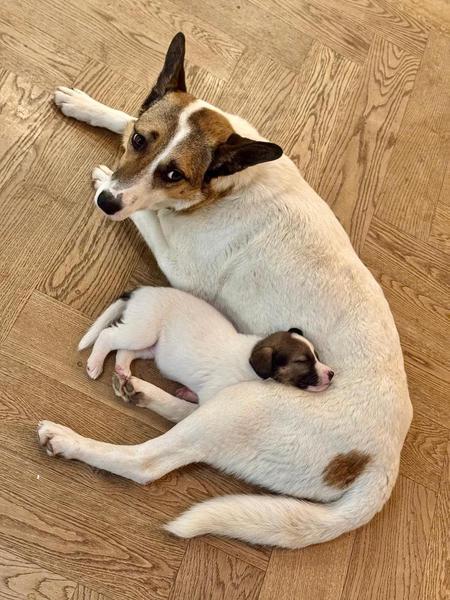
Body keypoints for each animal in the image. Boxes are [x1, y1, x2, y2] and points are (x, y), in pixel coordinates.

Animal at [77, 287, 334, 411]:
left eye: (317, 356)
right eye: (302, 361)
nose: (332, 374)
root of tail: (139, 292)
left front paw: (187, 392)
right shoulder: (211, 396)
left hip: (151, 346)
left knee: (124, 352)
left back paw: (123, 372)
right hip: (142, 331)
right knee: (108, 336)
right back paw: (95, 364)